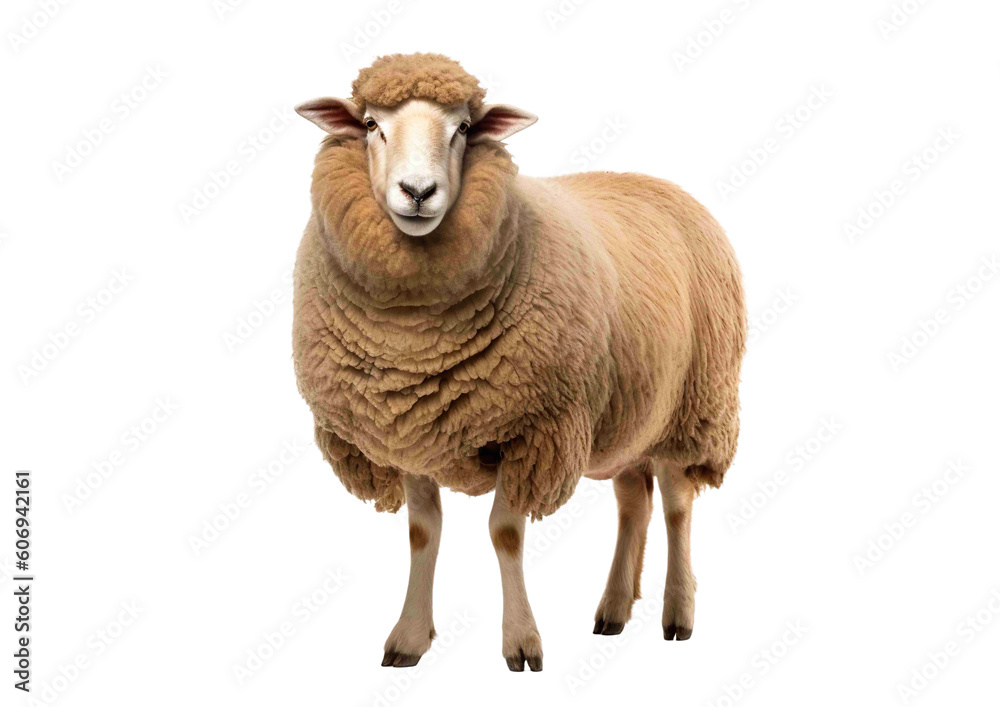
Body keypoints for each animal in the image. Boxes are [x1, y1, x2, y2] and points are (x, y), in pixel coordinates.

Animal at [292, 53, 746, 672]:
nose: (418, 191)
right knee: (634, 501)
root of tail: (658, 182)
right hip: (627, 411)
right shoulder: (406, 430)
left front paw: (522, 643)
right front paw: (409, 638)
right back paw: (613, 610)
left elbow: (504, 533)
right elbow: (422, 534)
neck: (413, 341)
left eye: (463, 128)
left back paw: (678, 614)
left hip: (694, 405)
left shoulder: (533, 429)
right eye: (369, 125)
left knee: (677, 504)